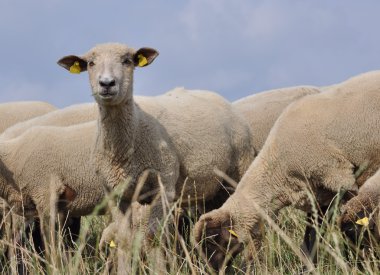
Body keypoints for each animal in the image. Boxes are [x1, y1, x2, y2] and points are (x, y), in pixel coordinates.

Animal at [57, 43, 255, 242]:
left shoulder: (164, 186)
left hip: (239, 169)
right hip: (211, 186)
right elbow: (124, 237)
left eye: (127, 61)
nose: (106, 83)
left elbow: (153, 235)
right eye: (91, 63)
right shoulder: (114, 193)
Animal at [194, 70, 380, 270]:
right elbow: (311, 237)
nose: (209, 270)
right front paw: (309, 267)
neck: (278, 168)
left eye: (212, 241)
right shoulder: (319, 195)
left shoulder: (339, 177)